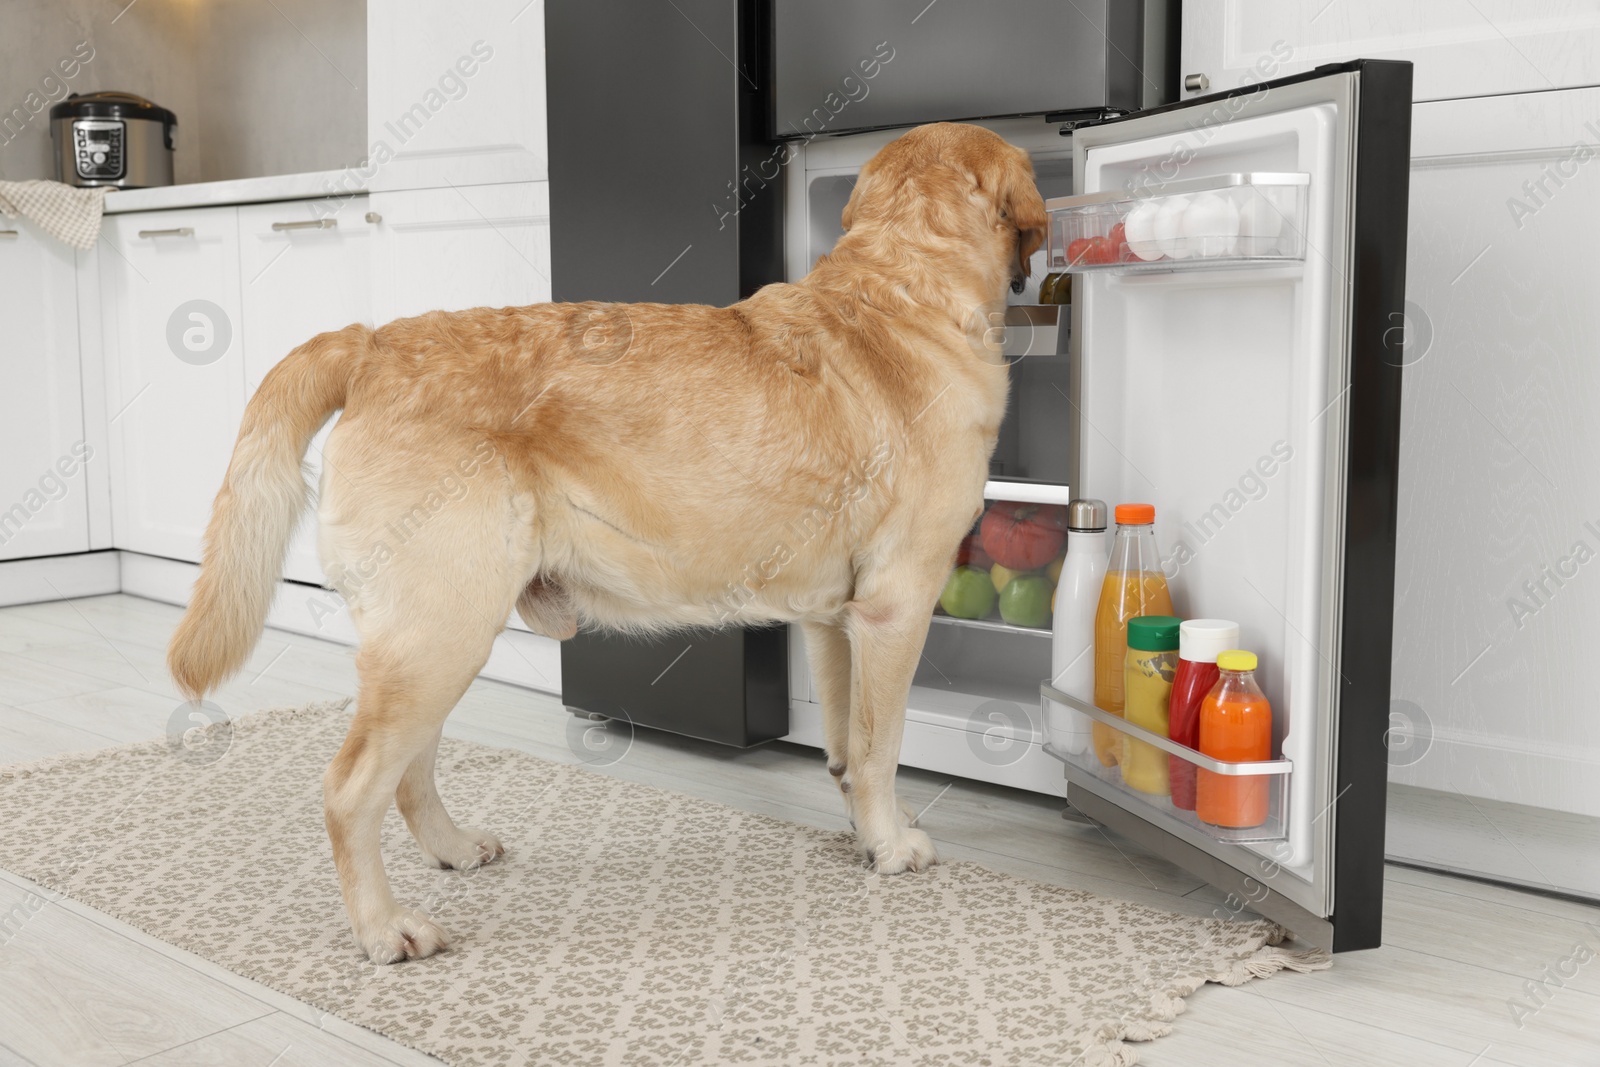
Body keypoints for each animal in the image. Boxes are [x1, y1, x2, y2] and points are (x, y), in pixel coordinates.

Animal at [168, 120, 1049, 966]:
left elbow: (843, 745)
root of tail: (370, 342)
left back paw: (453, 847)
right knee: (350, 789)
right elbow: (880, 745)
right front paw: (894, 843)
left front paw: (862, 833)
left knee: (410, 772)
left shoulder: (836, 620)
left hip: (433, 640)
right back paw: (385, 929)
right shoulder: (896, 607)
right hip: (443, 631)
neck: (904, 285)